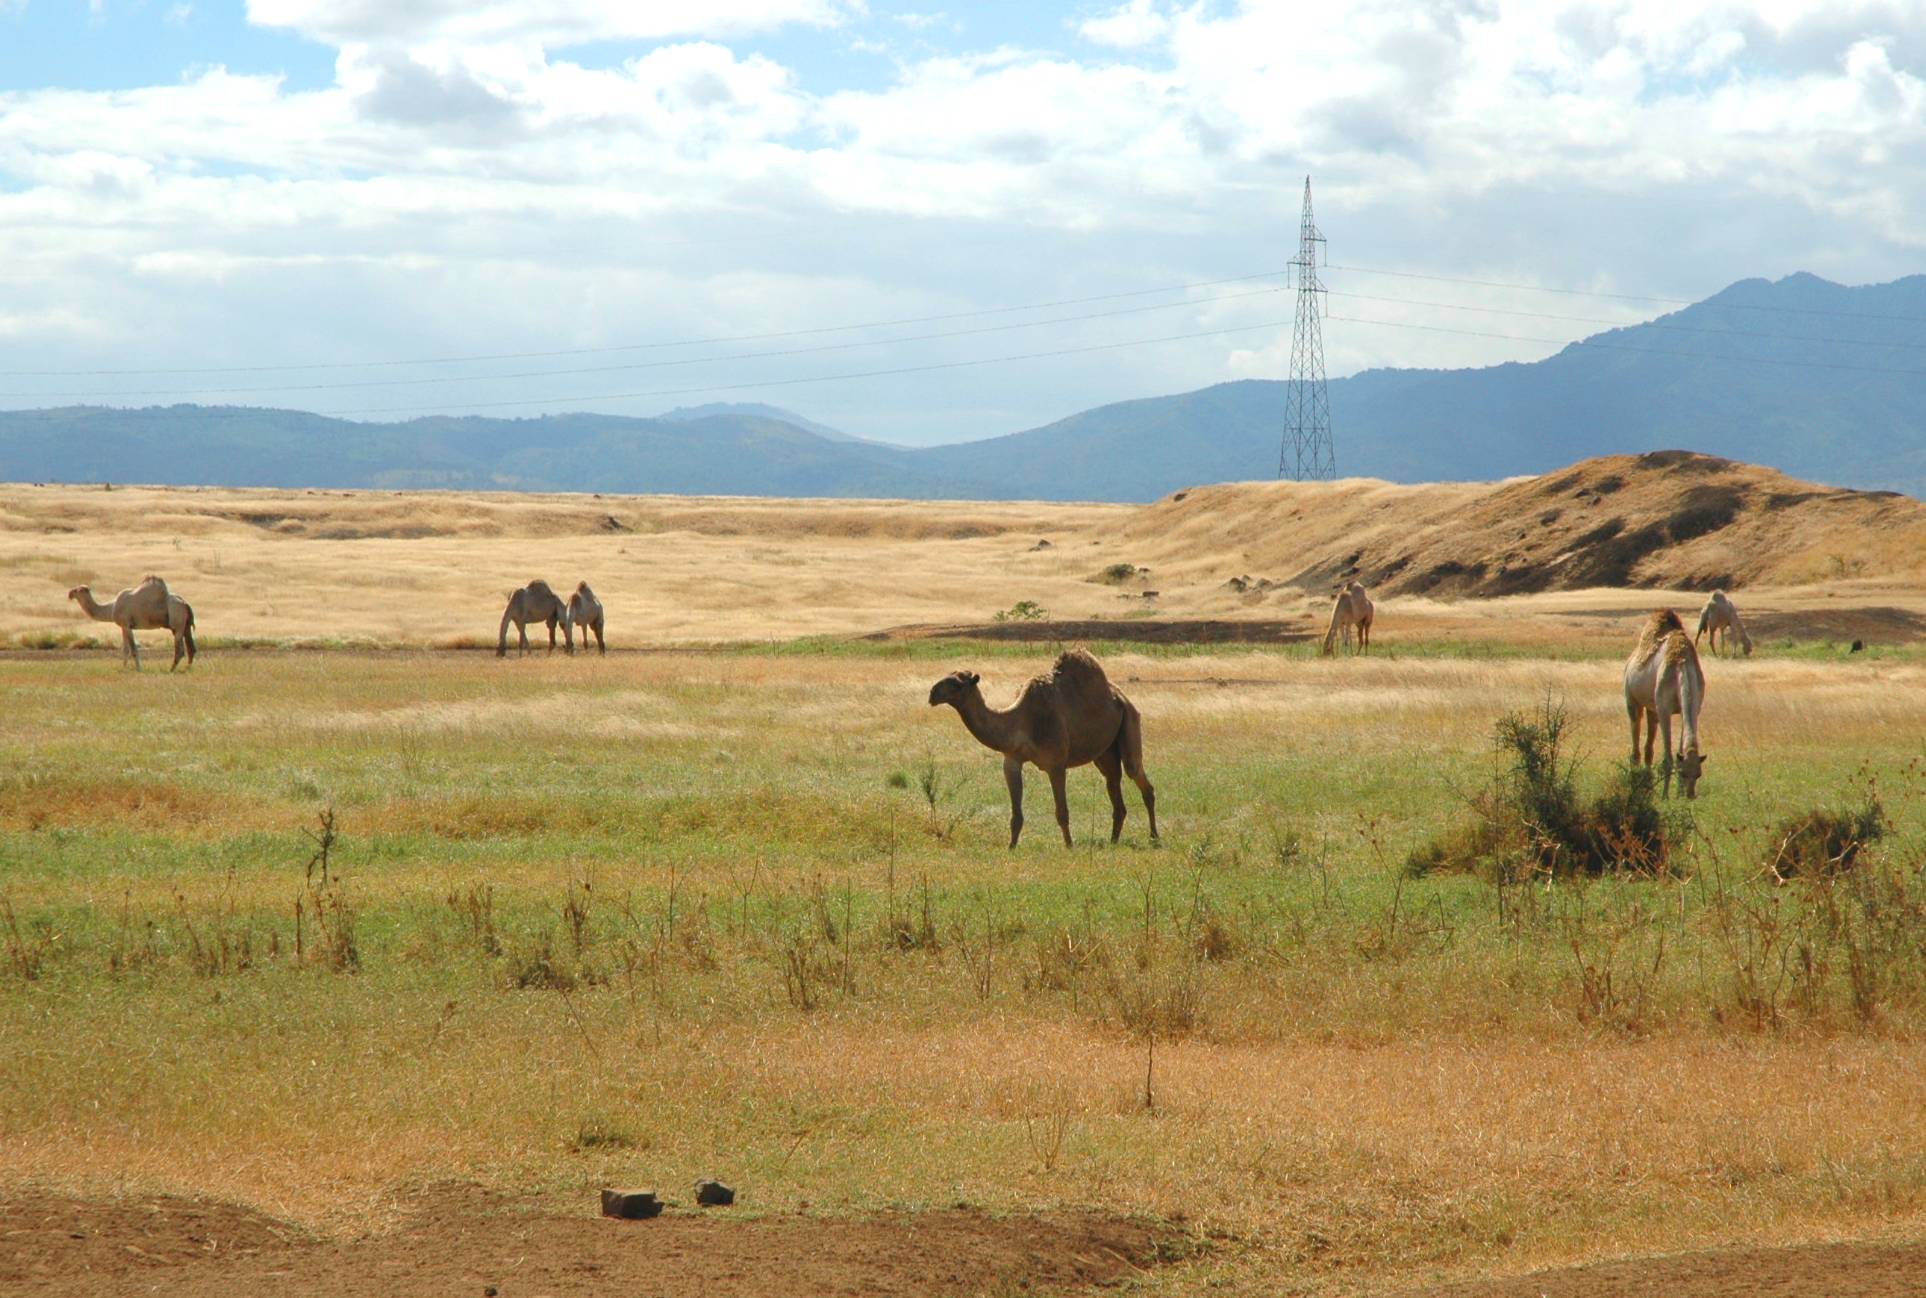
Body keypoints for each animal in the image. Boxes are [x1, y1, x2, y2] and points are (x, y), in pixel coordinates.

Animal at [66, 577, 196, 677]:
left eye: (77, 590)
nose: (69, 594)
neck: (112, 608)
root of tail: (185, 603)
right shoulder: (123, 626)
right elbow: (125, 649)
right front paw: (123, 668)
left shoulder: (127, 625)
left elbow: (133, 649)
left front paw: (139, 669)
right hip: (185, 625)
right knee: (191, 648)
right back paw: (186, 668)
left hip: (177, 623)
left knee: (180, 650)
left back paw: (171, 669)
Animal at [928, 647, 1155, 847]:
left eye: (957, 683)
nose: (932, 694)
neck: (1021, 720)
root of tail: (1121, 696)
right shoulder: (1011, 759)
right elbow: (1016, 815)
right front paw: (1011, 847)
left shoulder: (1056, 764)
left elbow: (1062, 812)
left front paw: (1069, 846)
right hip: (1105, 751)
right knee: (1113, 784)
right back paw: (1113, 841)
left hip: (1130, 720)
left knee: (1137, 774)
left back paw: (1154, 837)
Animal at [1617, 608, 1710, 797]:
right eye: (1684, 773)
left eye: (1698, 774)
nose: (1690, 796)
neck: (1682, 663)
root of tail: (1630, 660)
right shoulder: (1664, 710)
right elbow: (1668, 759)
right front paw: (1665, 796)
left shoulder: (1692, 709)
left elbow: (1679, 753)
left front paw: (1678, 795)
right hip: (1632, 700)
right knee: (1635, 740)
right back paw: (1635, 781)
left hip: (1652, 708)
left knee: (1648, 747)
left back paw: (1647, 785)